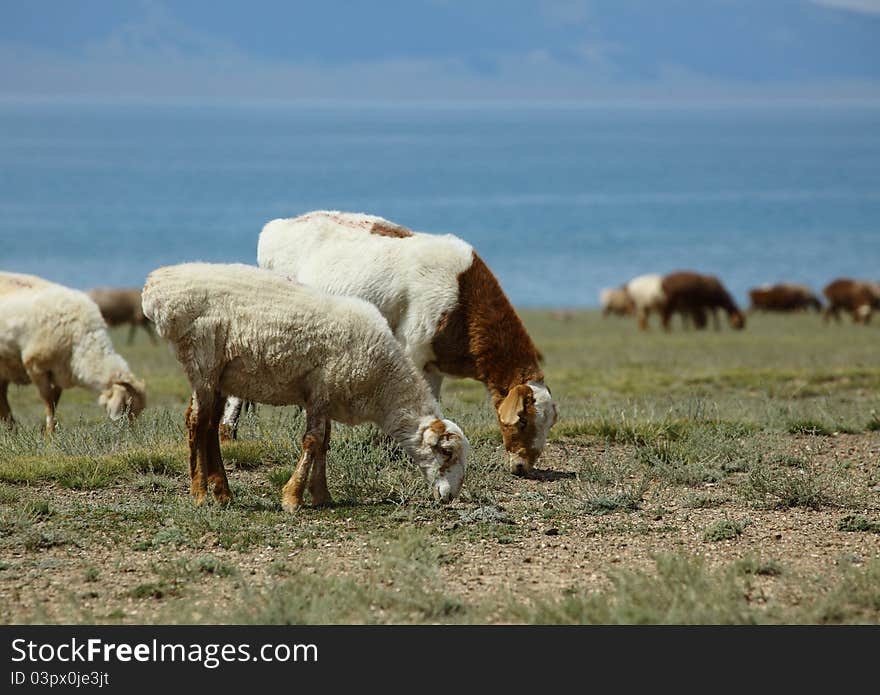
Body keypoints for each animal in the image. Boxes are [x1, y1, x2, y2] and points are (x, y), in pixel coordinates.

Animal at [0, 270, 146, 430]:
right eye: (126, 406)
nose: (128, 431)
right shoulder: (36, 367)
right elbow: (48, 403)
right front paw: (50, 432)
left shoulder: (59, 373)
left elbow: (55, 402)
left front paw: (50, 431)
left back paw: (11, 428)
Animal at [140, 264, 468, 508]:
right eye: (447, 452)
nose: (450, 496)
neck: (383, 384)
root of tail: (156, 285)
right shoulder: (322, 390)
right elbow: (312, 442)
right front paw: (293, 498)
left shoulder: (324, 397)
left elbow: (324, 443)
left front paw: (321, 495)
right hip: (203, 362)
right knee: (197, 423)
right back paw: (199, 493)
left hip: (220, 375)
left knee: (208, 426)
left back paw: (223, 493)